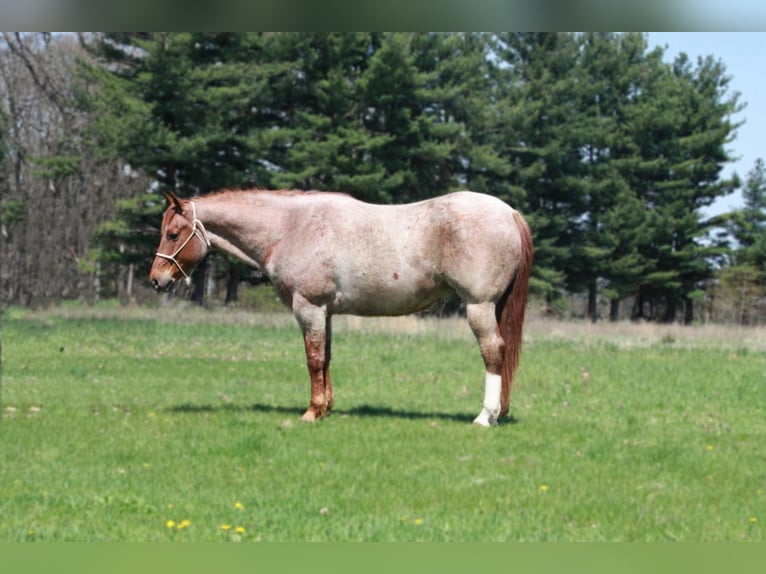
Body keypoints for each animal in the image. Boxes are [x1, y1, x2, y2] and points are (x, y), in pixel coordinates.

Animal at [150, 189, 536, 428]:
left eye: (173, 234)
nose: (156, 280)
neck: (290, 227)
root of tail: (509, 212)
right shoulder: (326, 312)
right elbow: (326, 357)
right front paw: (327, 408)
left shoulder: (308, 308)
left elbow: (313, 359)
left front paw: (312, 412)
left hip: (479, 306)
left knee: (493, 352)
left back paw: (485, 416)